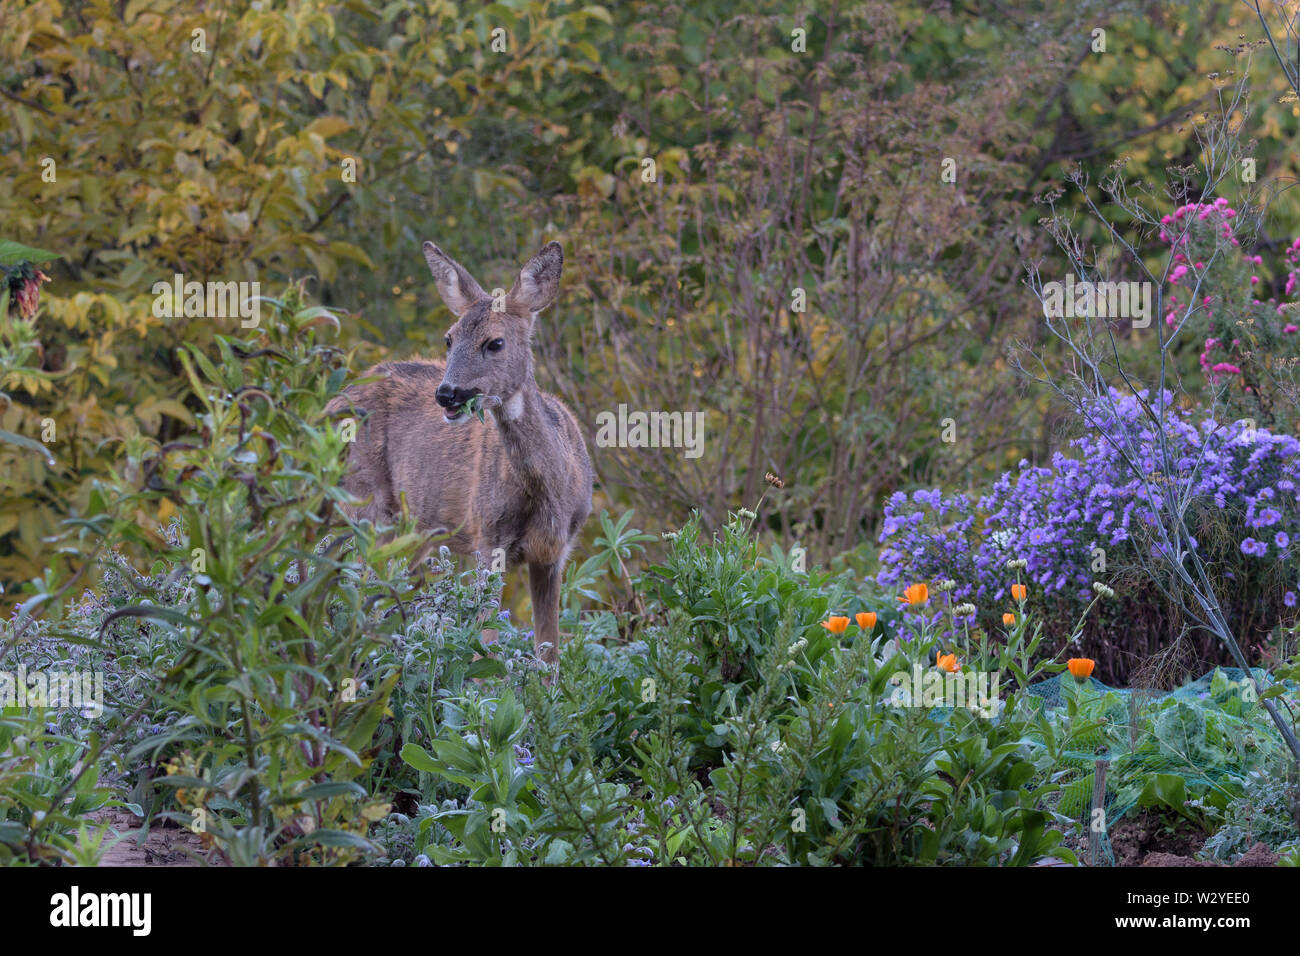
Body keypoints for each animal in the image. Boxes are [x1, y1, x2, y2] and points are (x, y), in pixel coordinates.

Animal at [327, 240, 592, 665]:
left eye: (495, 342)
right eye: (449, 339)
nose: (447, 393)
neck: (550, 488)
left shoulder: (555, 551)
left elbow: (549, 655)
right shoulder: (487, 535)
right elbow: (487, 645)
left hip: (412, 533)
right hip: (364, 506)